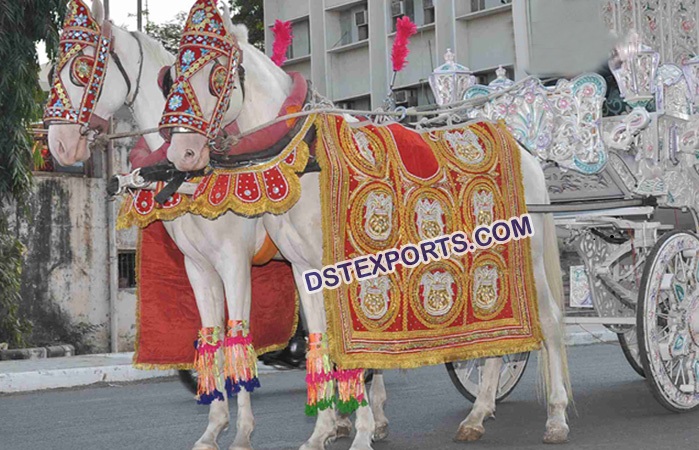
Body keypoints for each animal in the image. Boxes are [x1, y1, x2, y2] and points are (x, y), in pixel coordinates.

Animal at [42, 1, 388, 448]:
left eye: (82, 69)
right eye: (53, 71)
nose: (59, 146)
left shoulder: (234, 262)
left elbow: (238, 336)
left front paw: (242, 432)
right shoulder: (198, 266)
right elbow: (214, 338)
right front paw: (214, 428)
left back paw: (371, 416)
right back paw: (353, 418)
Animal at [167, 1, 572, 446]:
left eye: (215, 73)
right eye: (174, 75)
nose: (182, 153)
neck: (306, 157)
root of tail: (524, 150)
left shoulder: (345, 272)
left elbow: (354, 351)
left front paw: (360, 433)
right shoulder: (304, 271)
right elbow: (322, 342)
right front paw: (322, 433)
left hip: (526, 260)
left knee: (551, 324)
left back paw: (556, 417)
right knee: (498, 339)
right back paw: (477, 415)